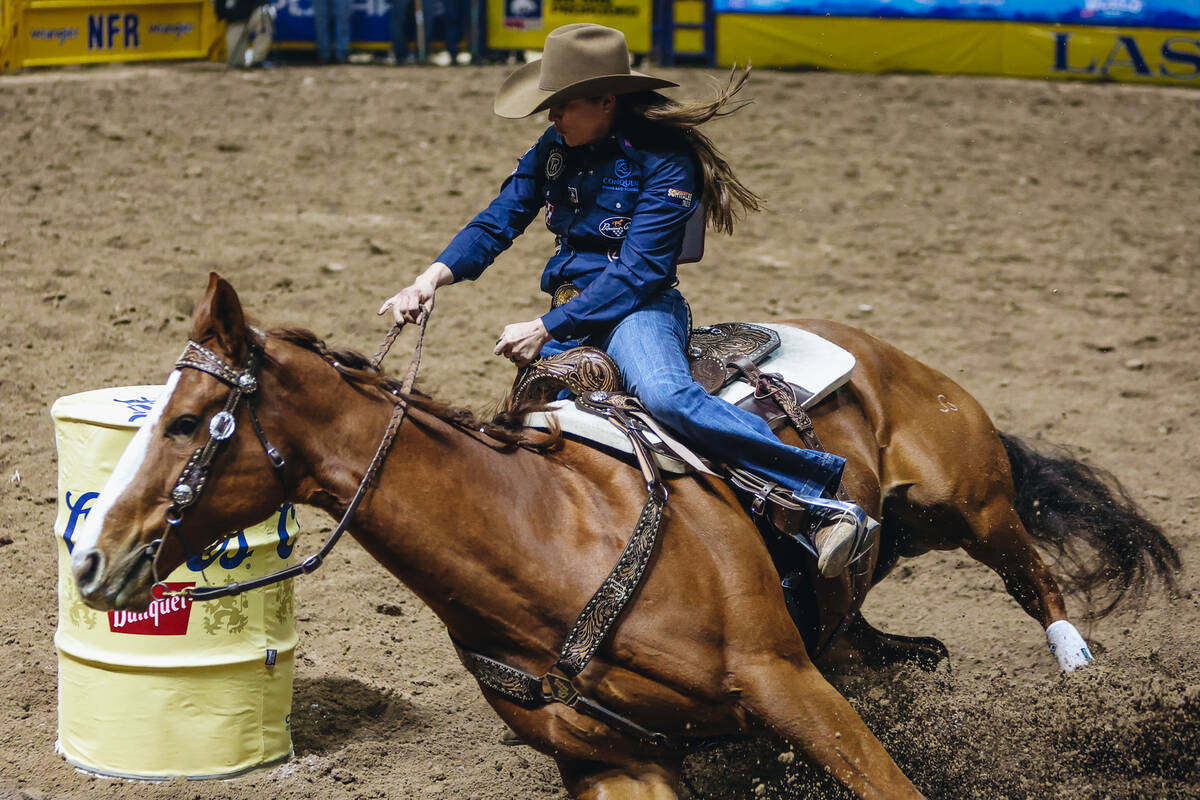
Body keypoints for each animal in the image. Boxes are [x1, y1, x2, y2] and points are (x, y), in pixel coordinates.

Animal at [70, 275, 1176, 800]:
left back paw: (1084, 680)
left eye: (184, 422)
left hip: (967, 500)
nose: (90, 555)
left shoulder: (787, 684)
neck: (547, 546)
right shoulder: (617, 766)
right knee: (876, 632)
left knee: (1032, 572)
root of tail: (876, 349)